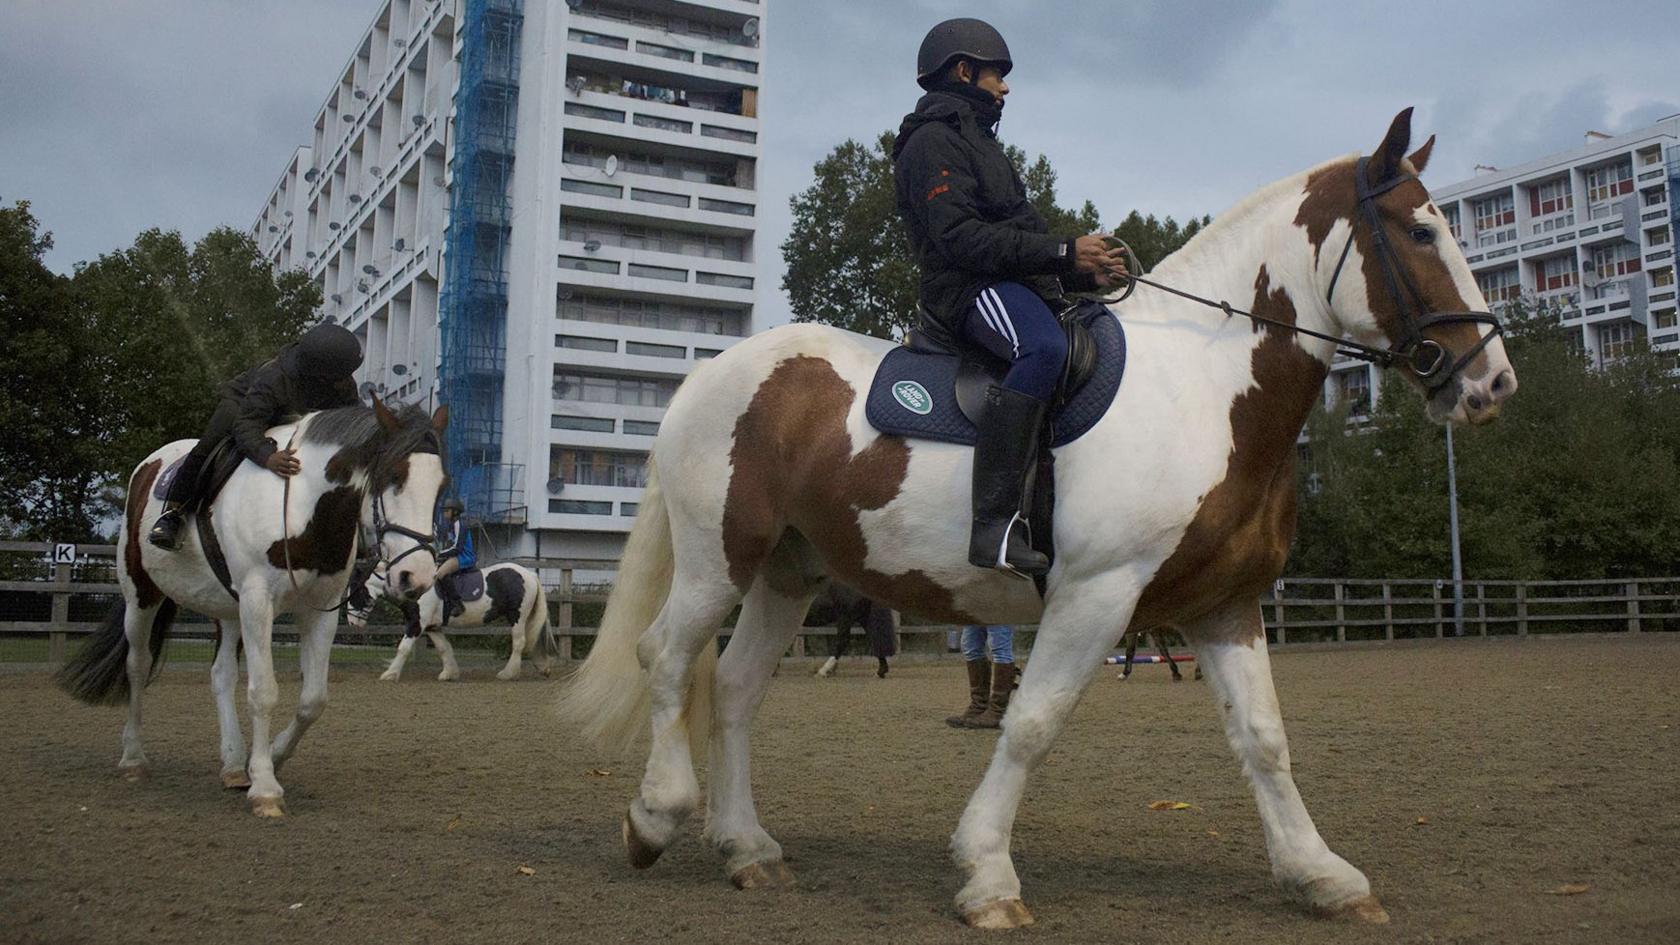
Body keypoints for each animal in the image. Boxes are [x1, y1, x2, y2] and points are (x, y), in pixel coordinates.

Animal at [557, 111, 1518, 928]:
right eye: (1422, 232)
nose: (1492, 382)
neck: (1201, 386)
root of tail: (709, 374)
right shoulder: (1096, 594)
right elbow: (1031, 723)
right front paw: (986, 873)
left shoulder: (1223, 605)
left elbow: (1265, 738)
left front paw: (1322, 873)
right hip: (719, 556)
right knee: (667, 657)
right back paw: (656, 816)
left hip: (787, 574)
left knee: (736, 688)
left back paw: (746, 848)